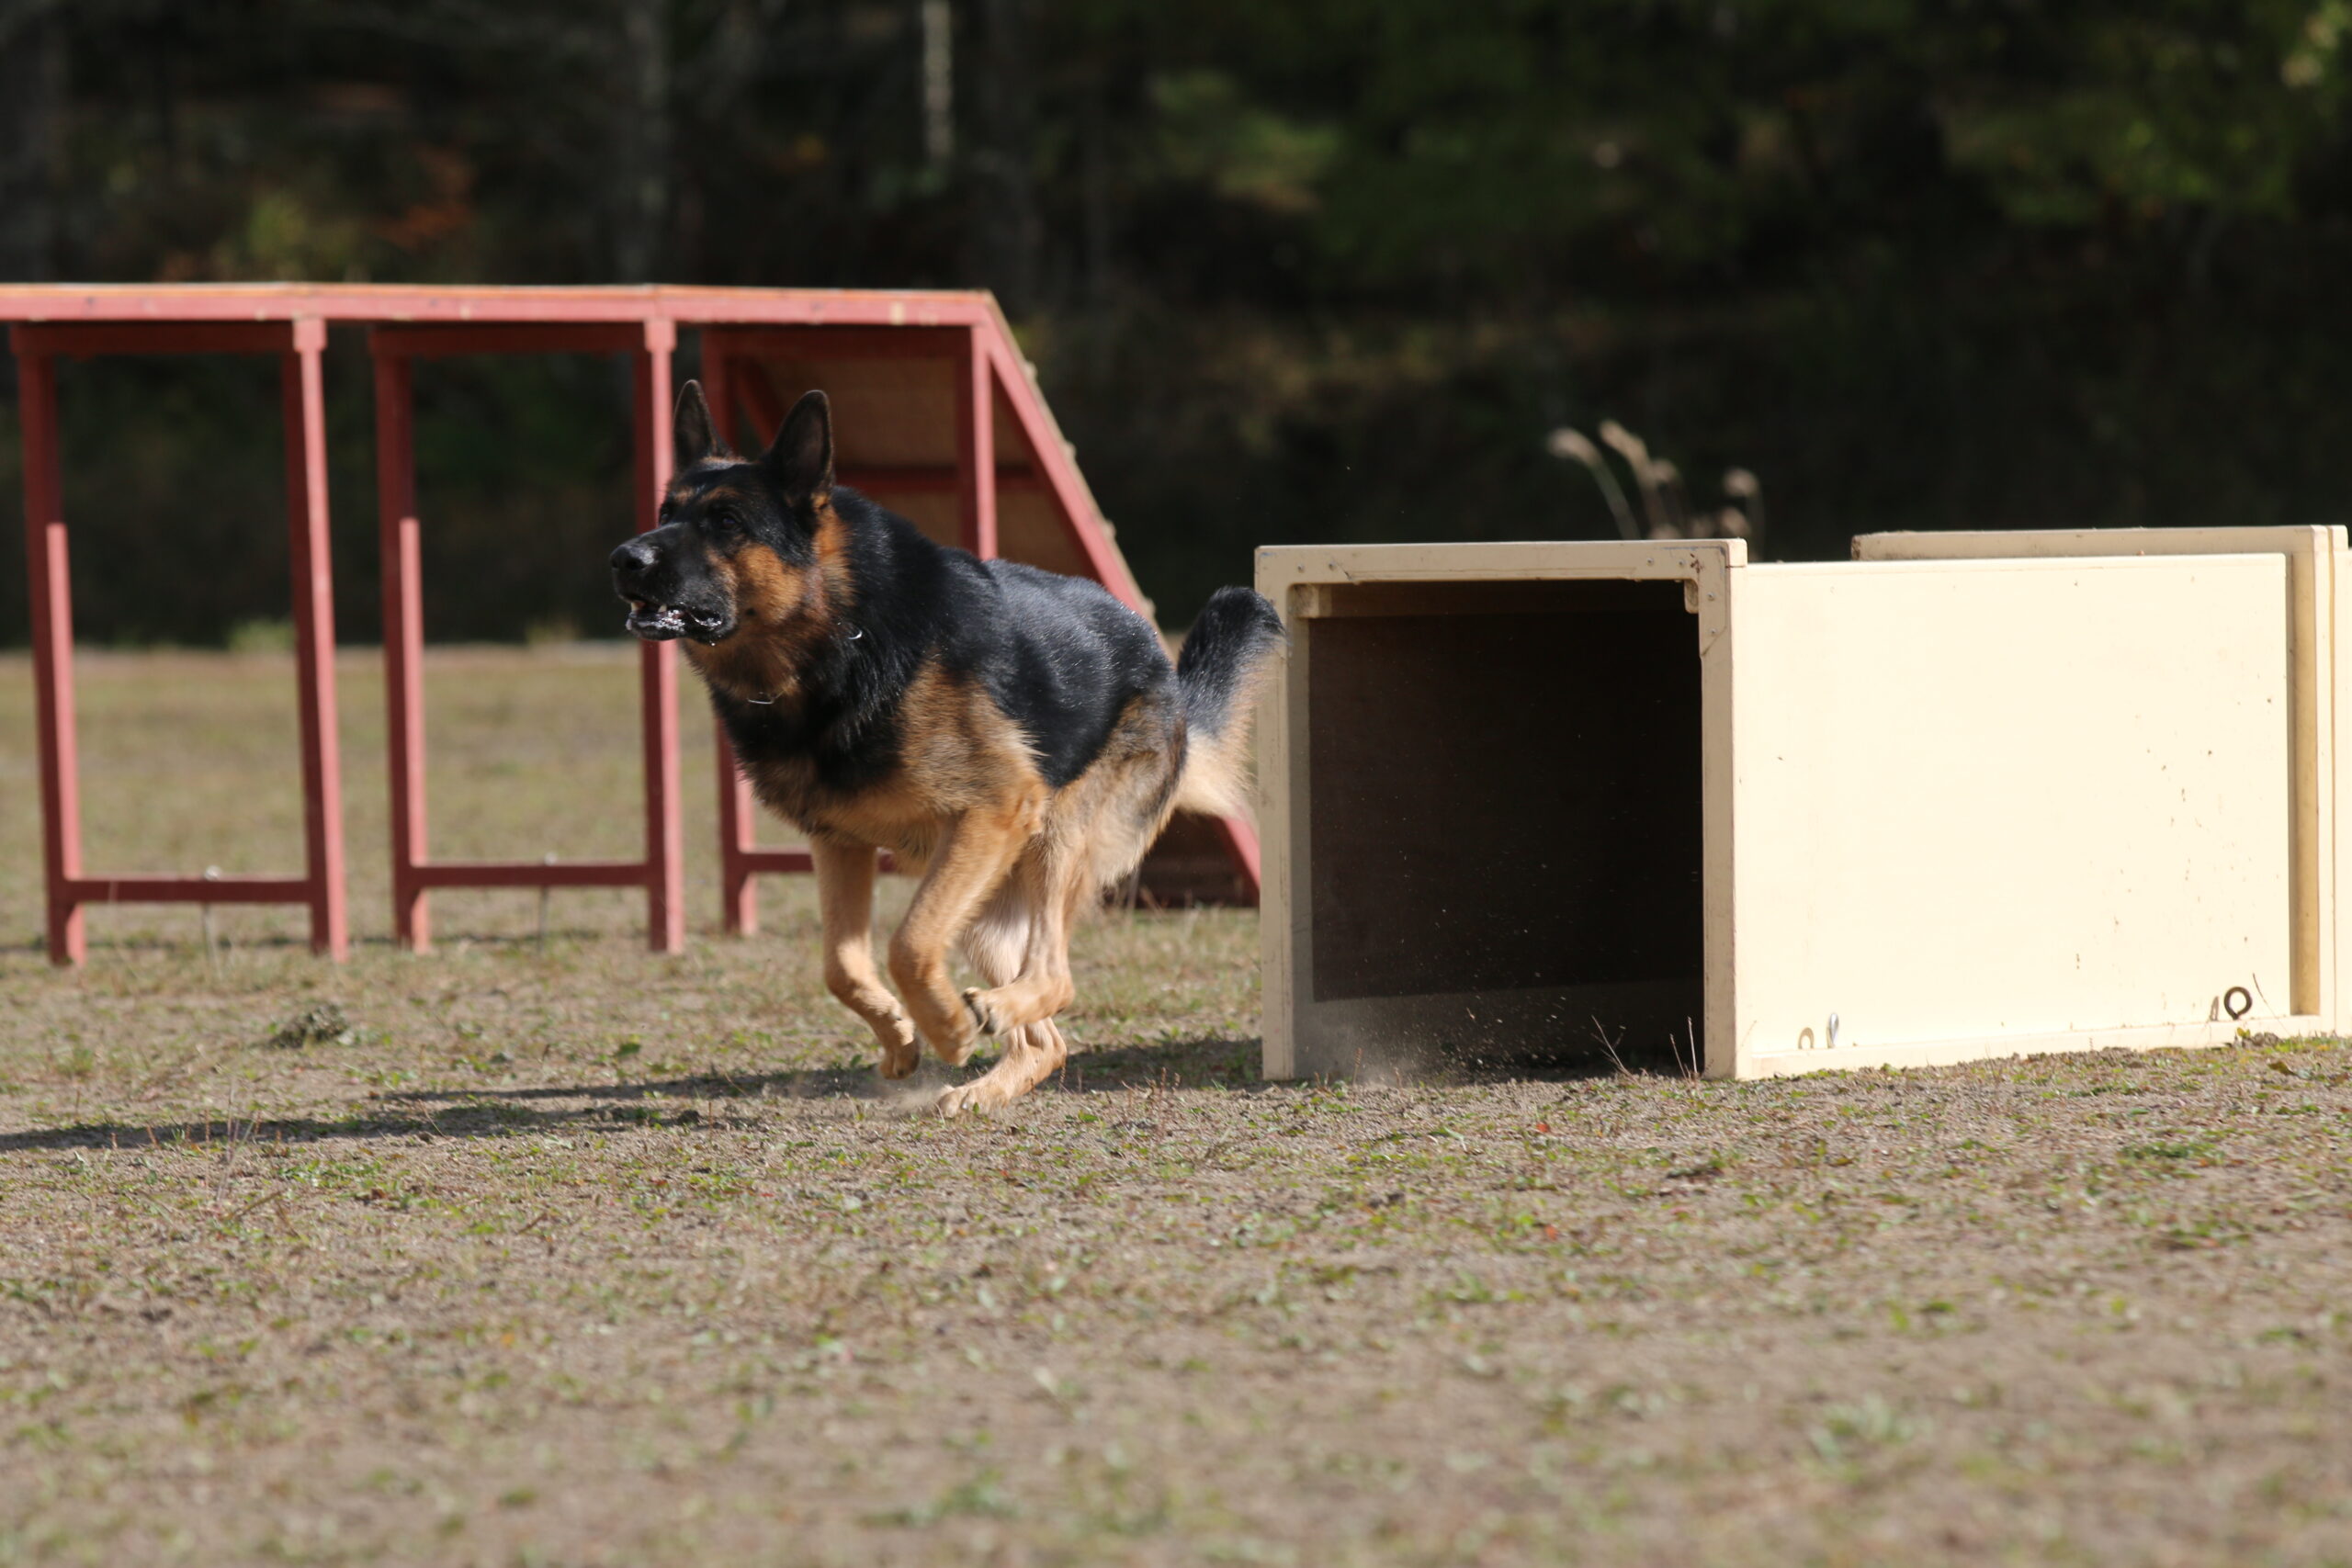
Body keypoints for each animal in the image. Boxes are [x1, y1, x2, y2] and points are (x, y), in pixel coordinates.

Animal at [597, 380, 1279, 1114]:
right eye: (666, 512)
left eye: (726, 522)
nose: (624, 559)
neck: (835, 644)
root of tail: (1164, 668)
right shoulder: (840, 842)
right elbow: (841, 965)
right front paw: (901, 1035)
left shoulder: (992, 810)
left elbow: (908, 942)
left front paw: (947, 1026)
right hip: (985, 899)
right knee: (1049, 1039)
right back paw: (985, 1085)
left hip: (1049, 838)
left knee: (1056, 975)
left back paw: (990, 1015)